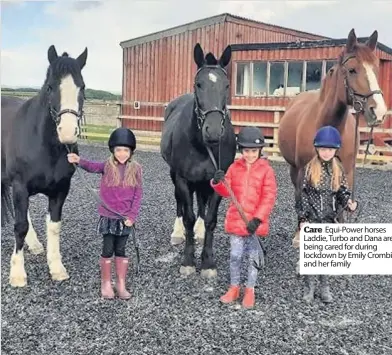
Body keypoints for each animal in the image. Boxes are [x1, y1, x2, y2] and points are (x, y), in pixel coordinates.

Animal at [1, 45, 87, 290]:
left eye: (82, 87)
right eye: (50, 87)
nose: (67, 133)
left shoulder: (60, 190)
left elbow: (54, 226)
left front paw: (56, 268)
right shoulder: (20, 186)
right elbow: (19, 225)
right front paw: (17, 274)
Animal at [160, 43, 236, 278]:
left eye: (226, 85)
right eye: (198, 84)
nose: (213, 131)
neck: (202, 146)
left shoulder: (218, 179)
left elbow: (210, 219)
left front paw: (208, 262)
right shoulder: (183, 179)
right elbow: (188, 217)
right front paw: (188, 261)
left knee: (202, 203)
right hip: (174, 175)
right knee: (180, 204)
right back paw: (178, 233)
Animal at [278, 29, 386, 231]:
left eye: (376, 70)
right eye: (352, 70)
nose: (380, 112)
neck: (329, 128)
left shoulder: (346, 175)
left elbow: (341, 211)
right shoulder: (304, 173)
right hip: (294, 170)